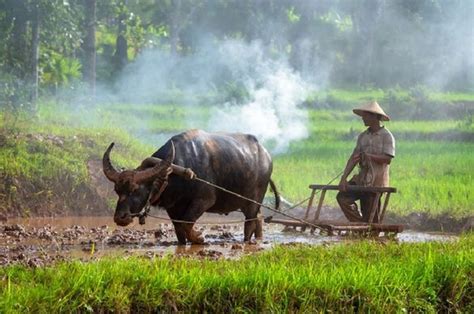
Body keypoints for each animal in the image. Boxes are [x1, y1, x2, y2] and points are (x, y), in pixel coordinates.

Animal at [102, 129, 280, 244]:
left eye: (136, 190)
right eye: (117, 190)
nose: (120, 218)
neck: (174, 173)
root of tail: (267, 156)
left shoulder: (204, 201)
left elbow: (187, 223)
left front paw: (199, 238)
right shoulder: (173, 208)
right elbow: (179, 229)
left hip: (254, 200)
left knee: (249, 223)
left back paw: (247, 241)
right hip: (247, 203)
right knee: (258, 219)